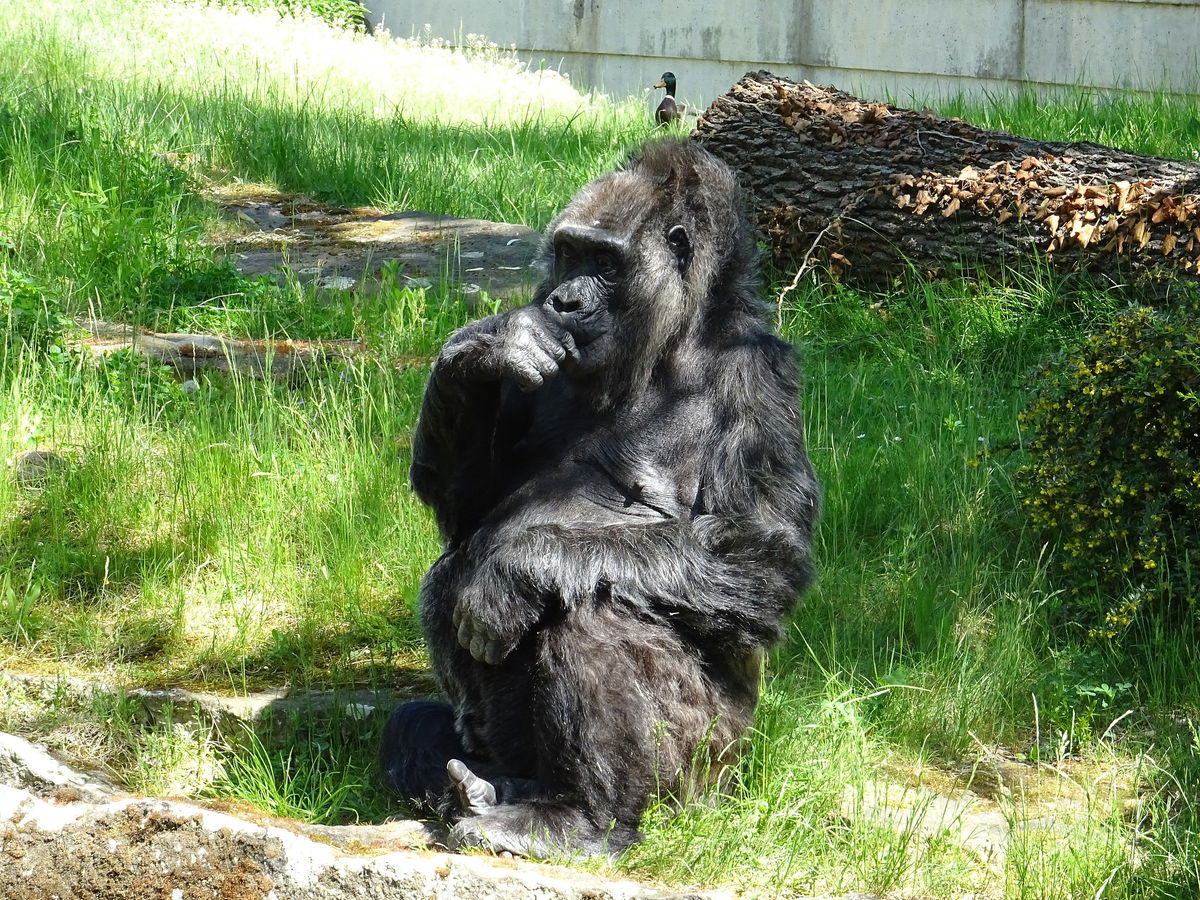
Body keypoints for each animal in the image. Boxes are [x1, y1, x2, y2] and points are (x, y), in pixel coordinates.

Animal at [379, 139, 820, 859]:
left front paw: (518, 569)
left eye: (605, 263)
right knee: (432, 654)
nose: (562, 300)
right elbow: (466, 515)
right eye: (568, 253)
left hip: (705, 781)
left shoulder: (758, 376)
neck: (672, 340)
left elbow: (760, 553)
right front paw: (481, 347)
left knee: (589, 611)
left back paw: (579, 817)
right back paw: (488, 783)